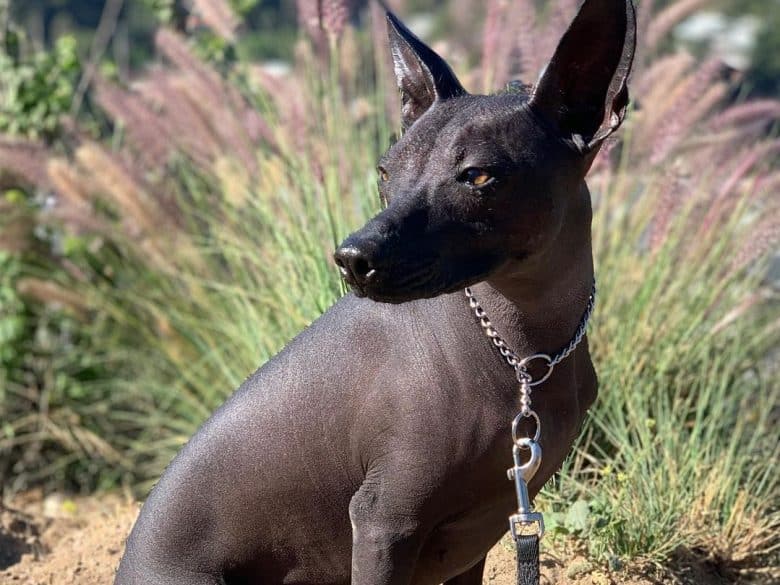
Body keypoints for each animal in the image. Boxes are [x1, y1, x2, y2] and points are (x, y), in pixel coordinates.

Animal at [119, 2, 636, 580]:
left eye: (477, 177)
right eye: (386, 171)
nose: (351, 257)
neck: (524, 353)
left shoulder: (478, 537)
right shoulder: (383, 523)